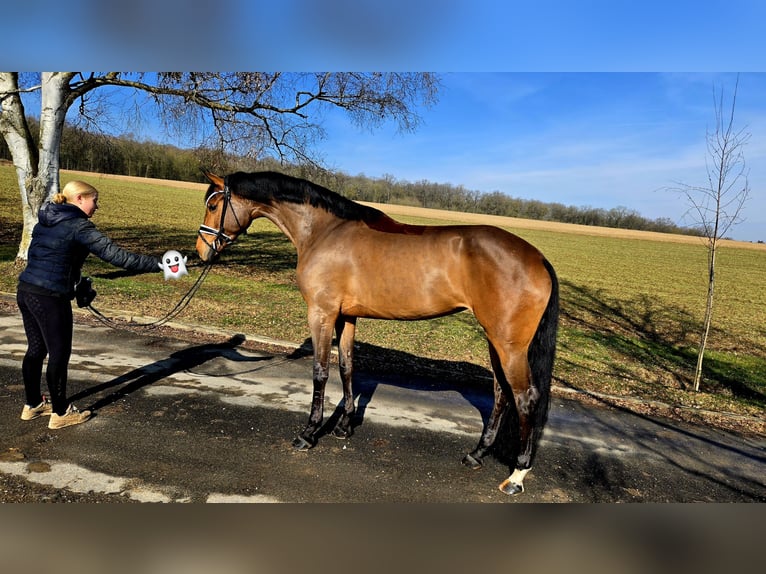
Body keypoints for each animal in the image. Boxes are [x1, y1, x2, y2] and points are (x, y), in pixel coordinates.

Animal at [195, 170, 560, 496]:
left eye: (213, 205)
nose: (201, 251)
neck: (324, 232)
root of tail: (539, 258)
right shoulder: (346, 316)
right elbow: (347, 367)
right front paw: (344, 427)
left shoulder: (321, 314)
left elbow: (320, 372)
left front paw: (309, 433)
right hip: (494, 340)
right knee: (501, 394)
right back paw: (476, 455)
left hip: (509, 345)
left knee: (524, 397)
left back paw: (516, 476)